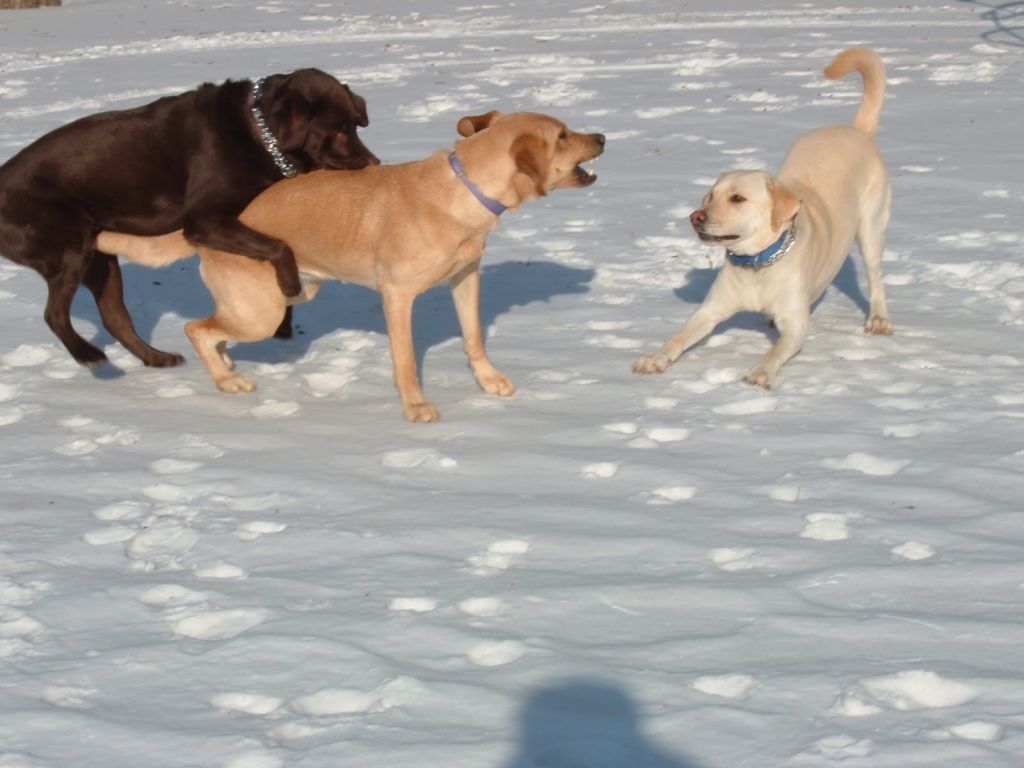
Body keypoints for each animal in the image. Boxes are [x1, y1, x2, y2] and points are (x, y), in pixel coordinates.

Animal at [634, 46, 892, 385]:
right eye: (710, 196)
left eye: (738, 198)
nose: (695, 217)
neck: (758, 264)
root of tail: (857, 130)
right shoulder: (709, 311)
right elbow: (679, 337)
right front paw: (654, 358)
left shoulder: (795, 326)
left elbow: (777, 350)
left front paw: (760, 372)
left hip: (871, 229)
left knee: (875, 277)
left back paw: (879, 318)